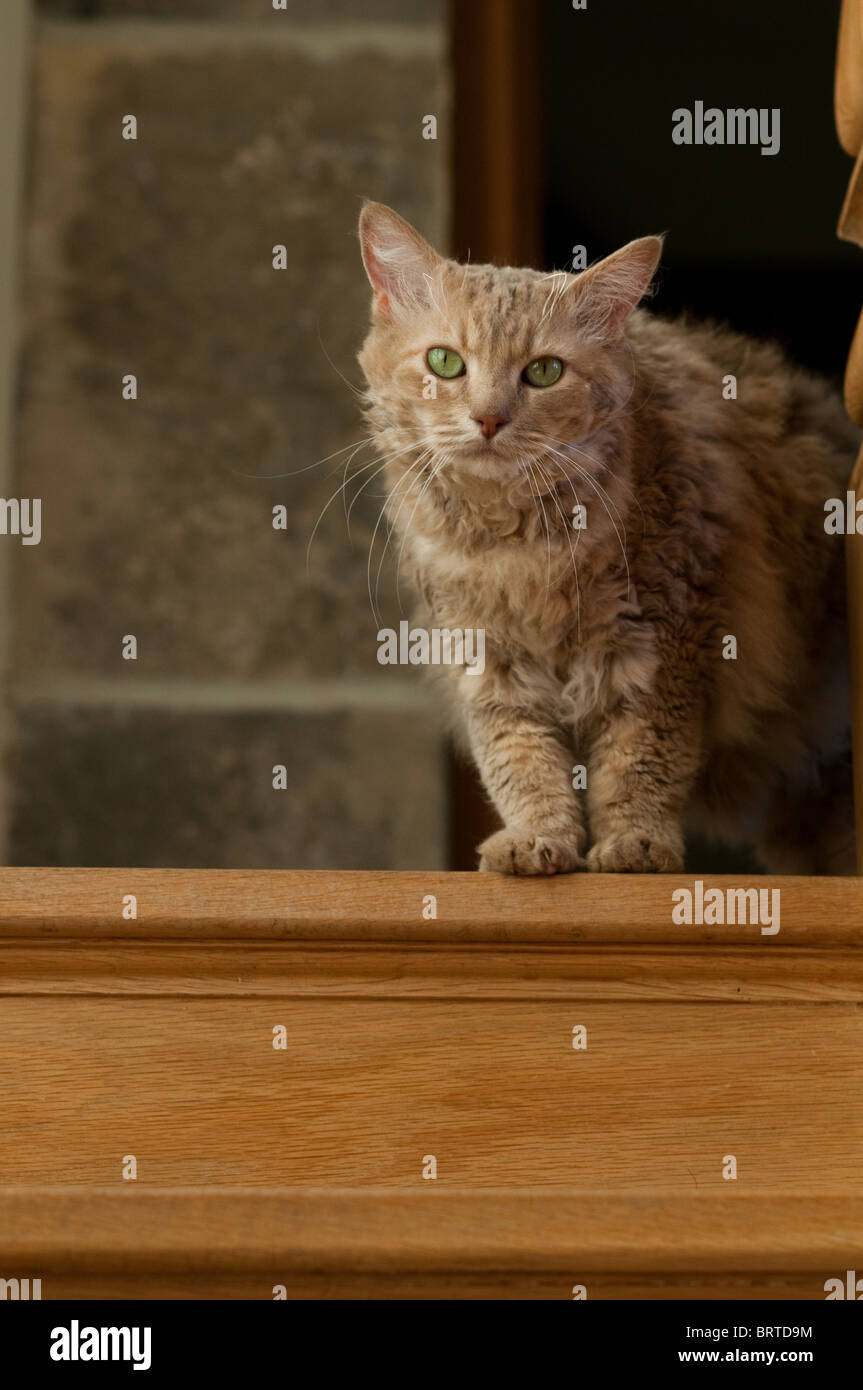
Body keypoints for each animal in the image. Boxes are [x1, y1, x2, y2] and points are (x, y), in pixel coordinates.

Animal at [355, 201, 856, 872]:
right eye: (445, 363)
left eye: (543, 372)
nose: (488, 419)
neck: (517, 547)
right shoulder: (488, 660)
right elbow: (523, 767)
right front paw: (537, 841)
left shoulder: (664, 645)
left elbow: (639, 763)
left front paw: (635, 846)